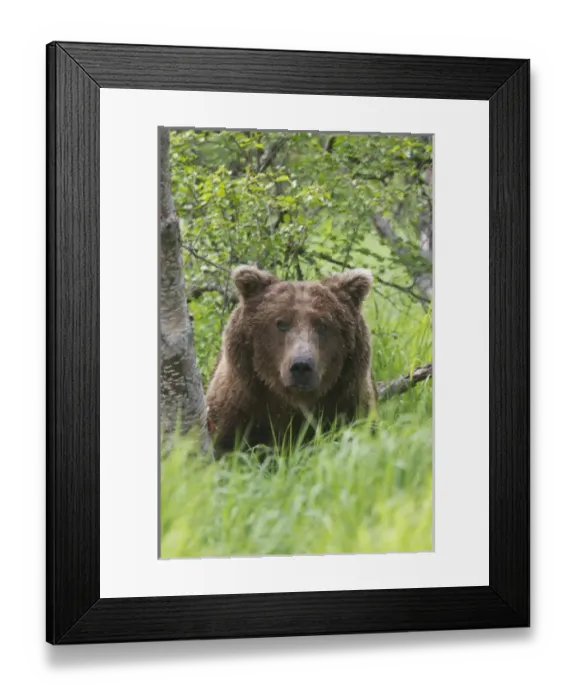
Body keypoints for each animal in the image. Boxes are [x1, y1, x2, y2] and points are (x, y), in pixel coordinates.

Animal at [204, 265, 378, 454]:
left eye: (323, 324)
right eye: (281, 323)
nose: (301, 366)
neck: (291, 403)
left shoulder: (350, 406)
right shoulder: (239, 408)